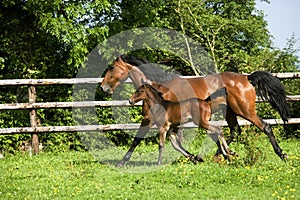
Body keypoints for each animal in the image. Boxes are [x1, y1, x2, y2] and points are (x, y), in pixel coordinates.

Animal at [101, 55, 290, 166]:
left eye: (111, 68)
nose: (103, 88)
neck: (158, 87)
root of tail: (247, 78)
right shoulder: (172, 122)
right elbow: (176, 143)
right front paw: (195, 157)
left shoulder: (149, 119)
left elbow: (137, 140)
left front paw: (121, 162)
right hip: (230, 112)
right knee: (233, 131)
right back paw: (221, 154)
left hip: (245, 111)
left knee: (265, 127)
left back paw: (281, 154)